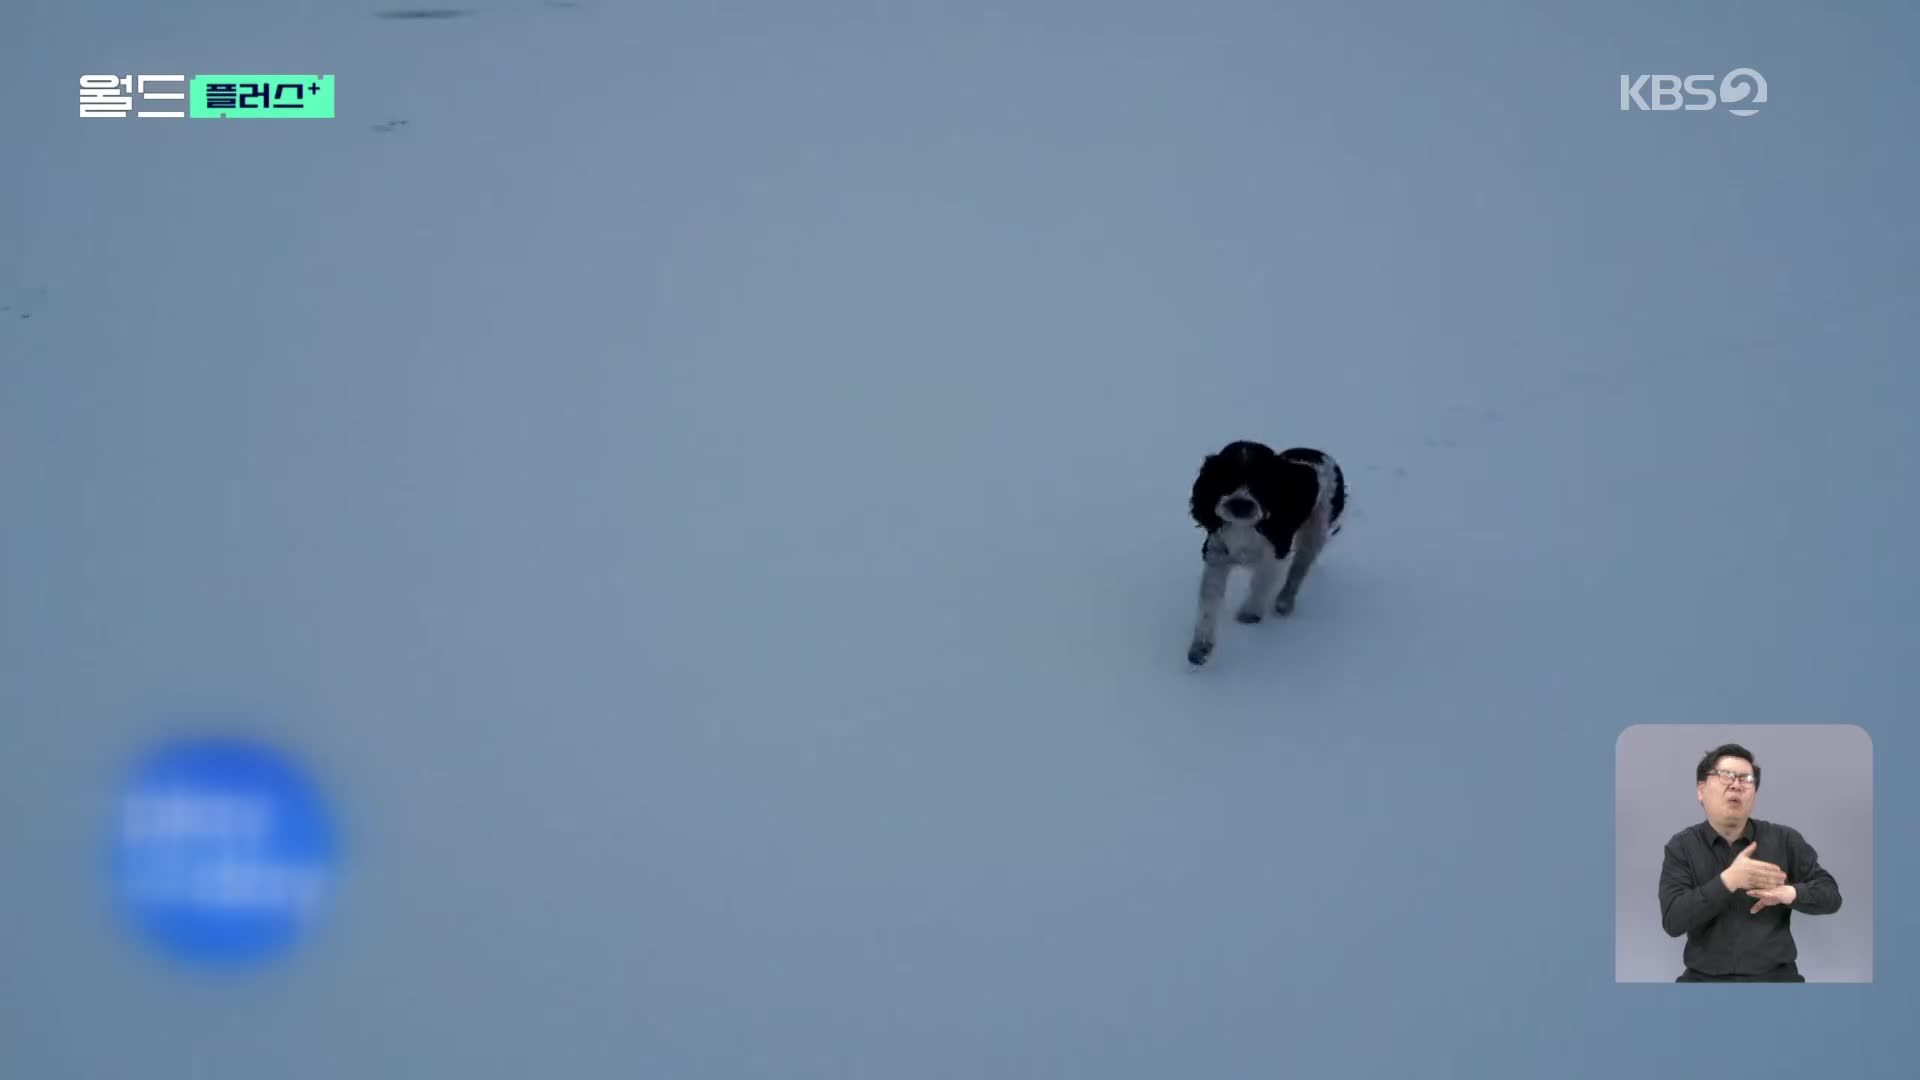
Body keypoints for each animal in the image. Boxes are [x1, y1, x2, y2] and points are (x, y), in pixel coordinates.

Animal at [1182, 440, 1351, 664]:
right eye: (1225, 479)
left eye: (1261, 483)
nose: (1240, 504)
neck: (1244, 528)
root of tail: (1316, 452)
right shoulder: (1217, 555)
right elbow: (1208, 600)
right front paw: (1200, 647)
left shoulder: (1274, 554)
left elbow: (1261, 583)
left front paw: (1250, 613)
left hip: (1317, 529)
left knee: (1299, 569)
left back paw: (1284, 602)